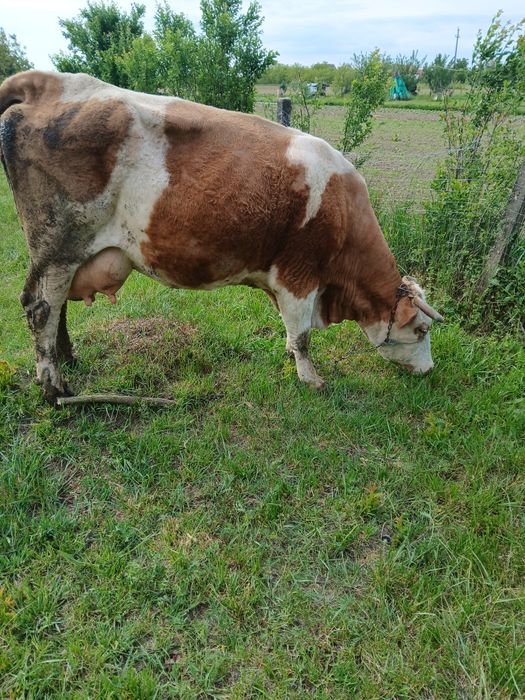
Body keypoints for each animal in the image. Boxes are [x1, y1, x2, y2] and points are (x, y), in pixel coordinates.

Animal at [0, 70, 442, 404]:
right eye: (421, 330)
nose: (430, 369)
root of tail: (55, 82)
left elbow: (290, 330)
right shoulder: (299, 275)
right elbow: (301, 335)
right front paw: (311, 379)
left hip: (64, 253)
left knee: (56, 308)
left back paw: (68, 360)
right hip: (57, 245)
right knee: (41, 308)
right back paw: (55, 388)